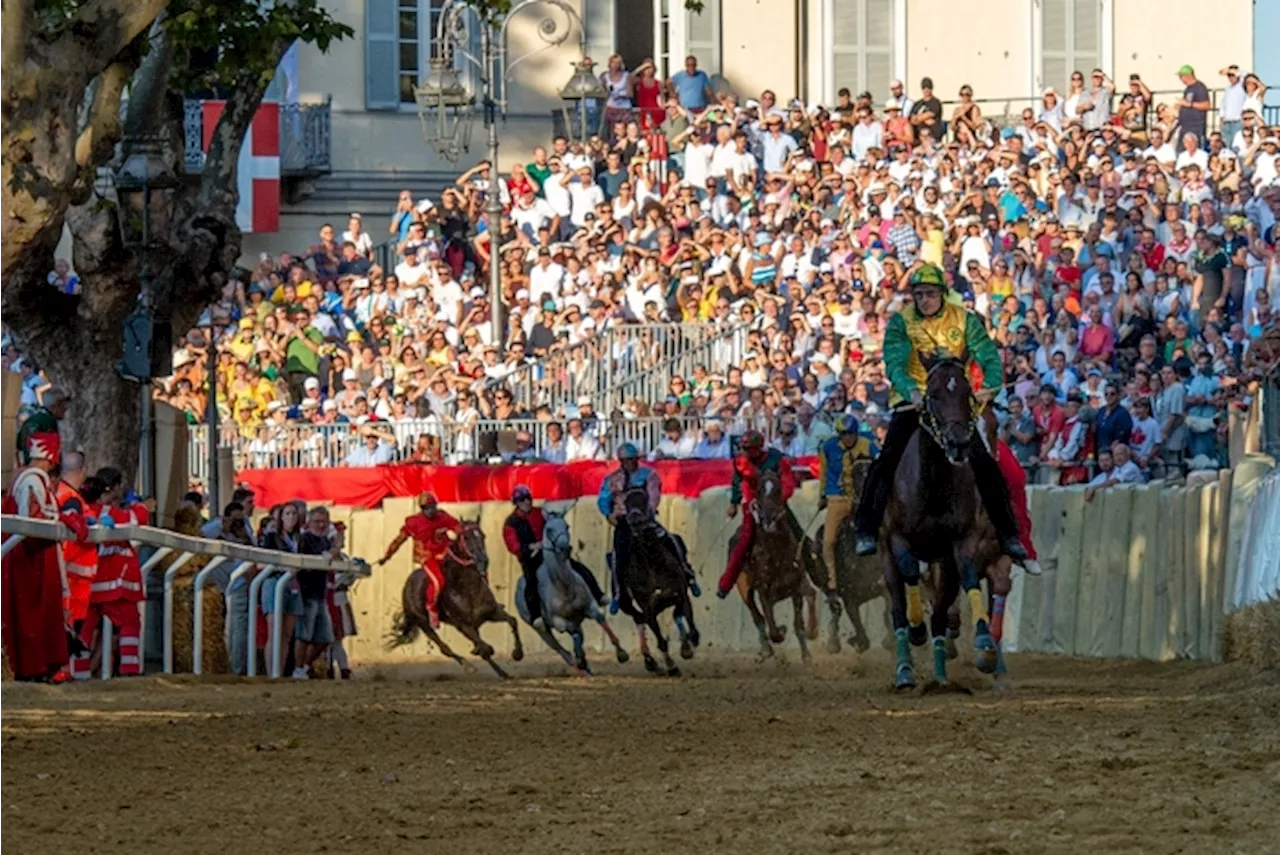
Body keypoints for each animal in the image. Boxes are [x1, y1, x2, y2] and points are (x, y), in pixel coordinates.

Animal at [386, 517, 522, 675]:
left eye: (483, 536)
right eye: (466, 537)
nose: (483, 560)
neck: (468, 590)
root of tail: (407, 585)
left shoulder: (492, 612)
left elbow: (513, 621)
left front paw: (518, 654)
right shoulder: (463, 625)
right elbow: (486, 648)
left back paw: (501, 672)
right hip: (423, 623)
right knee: (445, 648)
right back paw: (468, 666)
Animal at [732, 468, 819, 660]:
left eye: (778, 489)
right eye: (758, 490)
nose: (768, 520)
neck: (777, 553)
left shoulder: (795, 586)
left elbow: (798, 623)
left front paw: (807, 655)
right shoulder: (764, 591)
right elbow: (772, 627)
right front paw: (781, 631)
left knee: (811, 594)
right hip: (744, 587)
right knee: (757, 616)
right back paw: (766, 648)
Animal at [885, 358, 993, 691]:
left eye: (967, 393)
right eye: (932, 395)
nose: (958, 444)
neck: (932, 484)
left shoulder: (962, 540)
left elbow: (969, 577)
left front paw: (985, 644)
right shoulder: (898, 539)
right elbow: (909, 573)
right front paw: (916, 627)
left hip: (943, 563)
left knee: (941, 614)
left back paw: (941, 677)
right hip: (885, 557)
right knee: (897, 606)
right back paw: (905, 670)